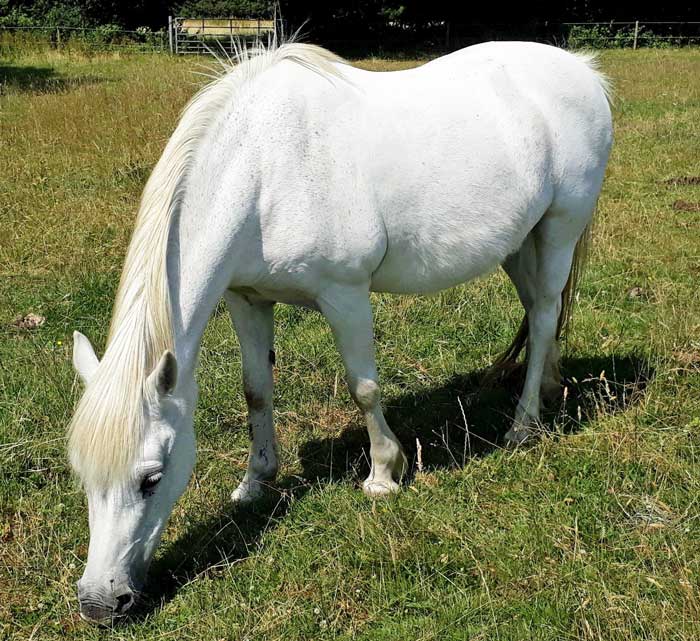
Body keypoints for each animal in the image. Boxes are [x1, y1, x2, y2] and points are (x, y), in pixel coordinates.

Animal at [67, 40, 612, 620]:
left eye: (150, 478)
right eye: (82, 474)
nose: (100, 601)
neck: (262, 170)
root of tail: (582, 70)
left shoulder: (344, 294)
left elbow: (363, 388)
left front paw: (383, 475)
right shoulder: (246, 300)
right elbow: (256, 390)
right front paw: (255, 481)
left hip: (558, 229)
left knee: (547, 312)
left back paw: (523, 426)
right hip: (519, 241)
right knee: (538, 312)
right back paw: (549, 389)